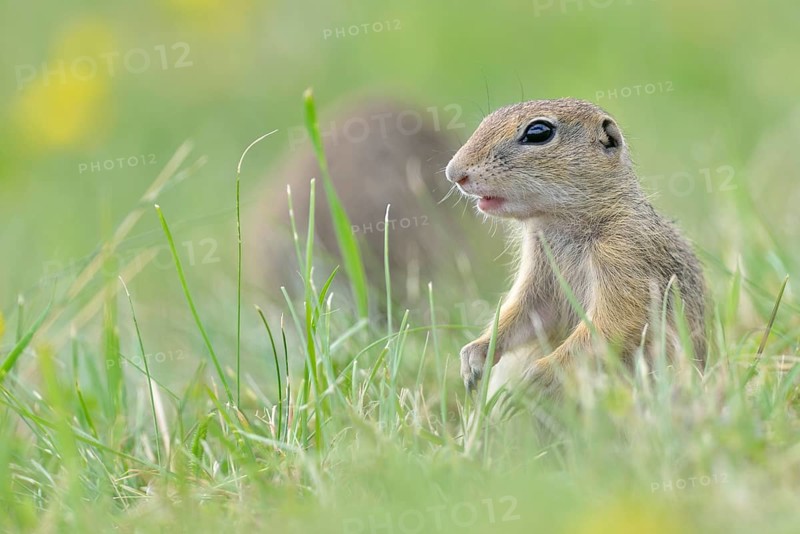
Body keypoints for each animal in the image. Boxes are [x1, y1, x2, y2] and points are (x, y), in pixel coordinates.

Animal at [445, 98, 707, 396]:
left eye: (538, 132)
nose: (454, 173)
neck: (562, 225)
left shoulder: (627, 255)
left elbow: (612, 324)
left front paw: (537, 375)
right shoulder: (539, 277)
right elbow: (523, 314)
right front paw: (474, 356)